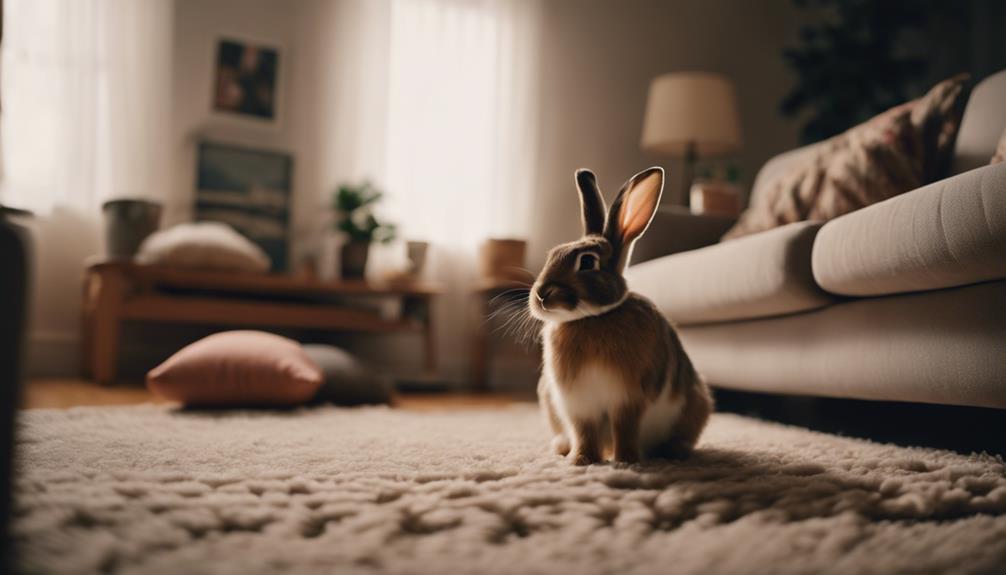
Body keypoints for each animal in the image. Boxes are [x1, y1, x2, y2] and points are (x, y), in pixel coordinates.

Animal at [530, 167, 712, 465]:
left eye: (587, 262)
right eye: (552, 255)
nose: (541, 295)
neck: (593, 319)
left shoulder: (629, 400)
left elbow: (624, 428)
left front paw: (626, 461)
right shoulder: (579, 405)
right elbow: (584, 432)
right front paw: (580, 460)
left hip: (695, 402)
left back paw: (675, 451)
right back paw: (562, 447)